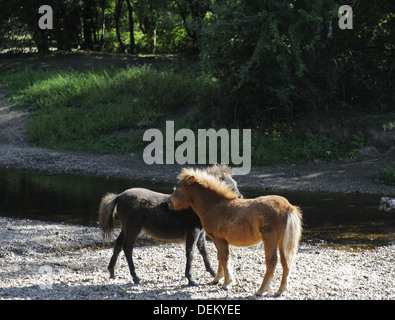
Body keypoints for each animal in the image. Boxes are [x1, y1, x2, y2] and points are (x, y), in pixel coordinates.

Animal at [97, 165, 243, 284]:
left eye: (235, 183)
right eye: (225, 184)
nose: (240, 198)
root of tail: (119, 196)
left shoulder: (201, 233)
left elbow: (204, 252)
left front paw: (213, 274)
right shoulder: (193, 232)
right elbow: (190, 253)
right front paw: (191, 279)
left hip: (126, 228)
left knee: (118, 244)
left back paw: (112, 272)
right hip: (133, 228)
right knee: (127, 248)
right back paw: (135, 277)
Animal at [168, 169, 304, 296]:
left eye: (178, 187)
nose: (169, 202)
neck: (214, 206)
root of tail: (288, 207)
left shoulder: (219, 239)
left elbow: (224, 258)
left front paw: (227, 282)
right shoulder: (219, 240)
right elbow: (220, 257)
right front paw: (217, 279)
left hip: (270, 240)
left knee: (272, 263)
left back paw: (261, 290)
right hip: (282, 242)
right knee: (286, 263)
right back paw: (281, 290)